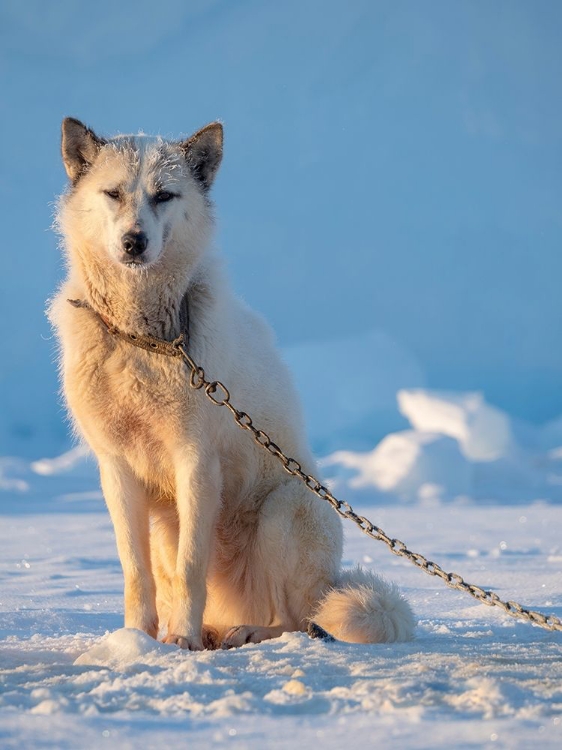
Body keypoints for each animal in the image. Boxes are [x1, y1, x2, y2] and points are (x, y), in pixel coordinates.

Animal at [48, 119, 414, 652]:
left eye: (163, 195)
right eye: (112, 193)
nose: (134, 242)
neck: (144, 341)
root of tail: (329, 583)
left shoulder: (196, 461)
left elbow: (190, 569)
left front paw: (181, 639)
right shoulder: (116, 468)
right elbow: (136, 573)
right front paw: (134, 640)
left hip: (285, 509)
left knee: (300, 620)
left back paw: (245, 632)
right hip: (168, 526)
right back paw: (212, 631)